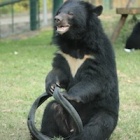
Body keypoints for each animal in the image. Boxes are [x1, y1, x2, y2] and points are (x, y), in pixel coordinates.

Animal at [40, 0, 119, 139]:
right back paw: (44, 134)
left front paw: (68, 95)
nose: (57, 19)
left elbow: (95, 79)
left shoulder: (98, 56)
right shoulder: (65, 55)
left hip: (103, 113)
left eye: (70, 13)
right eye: (59, 12)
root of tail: (73, 129)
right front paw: (51, 86)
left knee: (98, 126)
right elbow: (59, 71)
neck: (75, 42)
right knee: (52, 108)